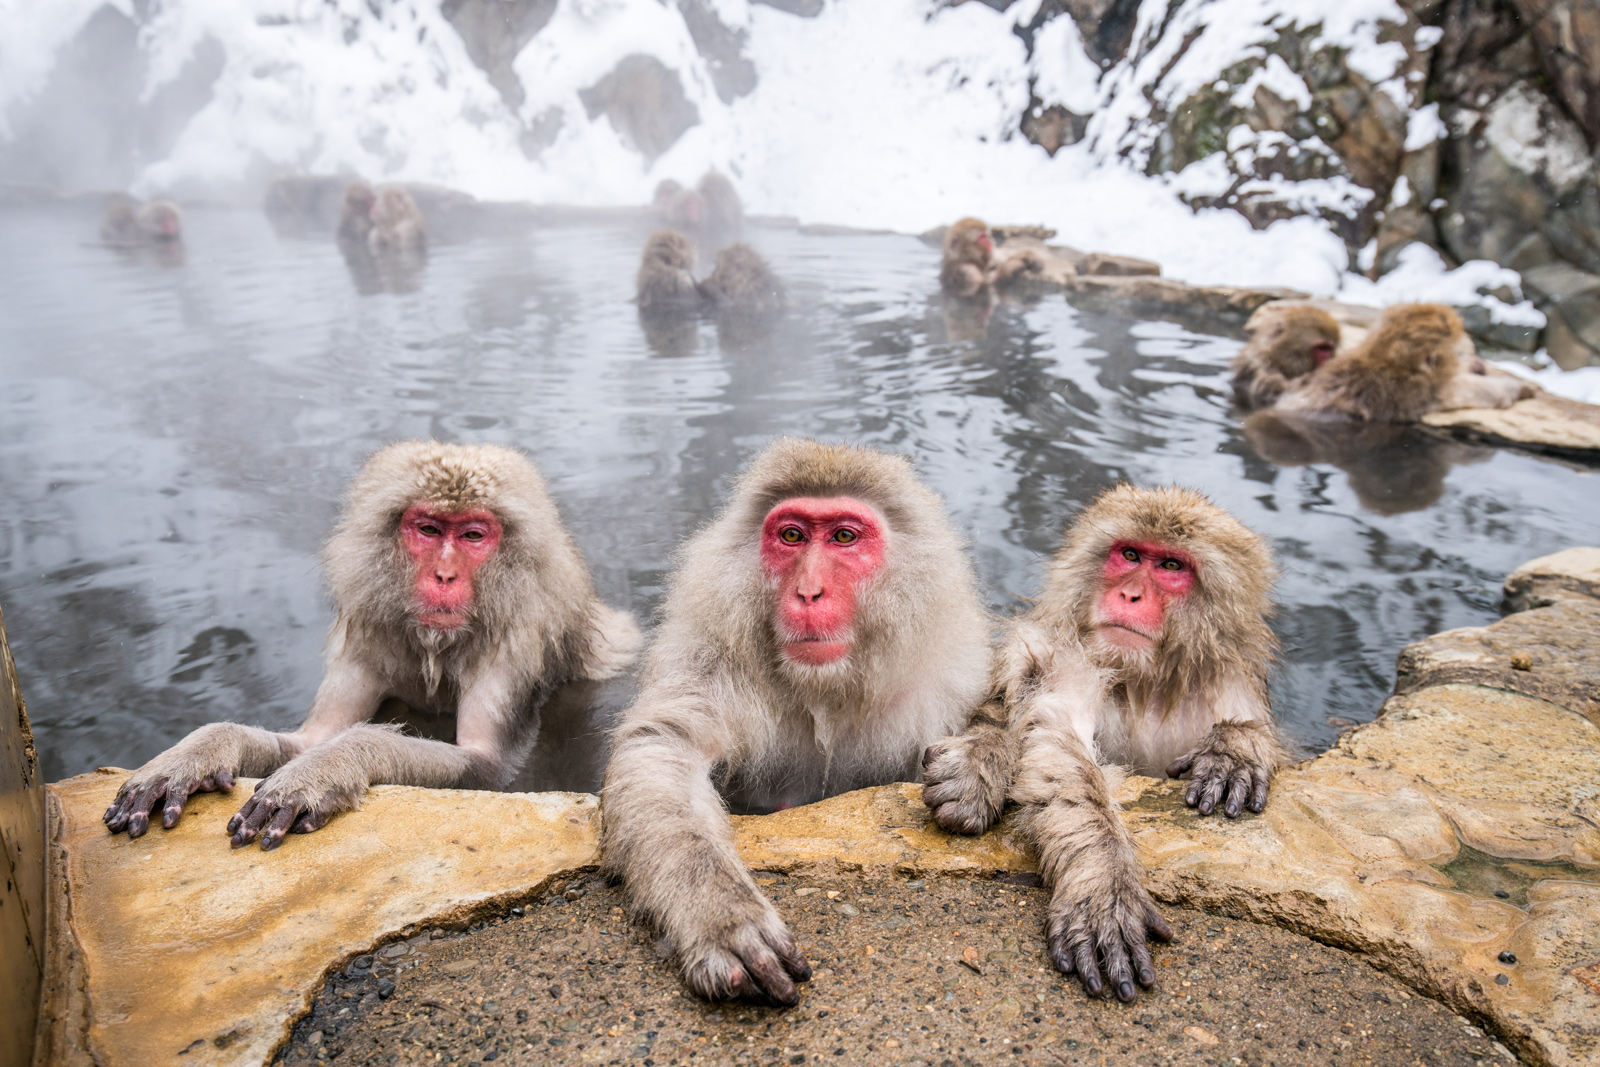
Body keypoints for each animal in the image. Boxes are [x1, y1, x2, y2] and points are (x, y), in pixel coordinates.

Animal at [103, 441, 642, 849]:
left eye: (473, 535)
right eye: (428, 529)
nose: (444, 576)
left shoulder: (515, 644)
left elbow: (489, 768)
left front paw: (329, 767)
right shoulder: (369, 634)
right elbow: (309, 738)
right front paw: (198, 752)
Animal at [601, 438, 993, 1006]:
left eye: (844, 537)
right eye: (792, 536)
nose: (808, 592)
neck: (826, 691)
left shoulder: (951, 678)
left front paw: (978, 768)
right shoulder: (710, 659)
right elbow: (663, 748)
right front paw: (721, 913)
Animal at [922, 485, 1287, 1003]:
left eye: (1171, 566)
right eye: (1129, 555)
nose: (1129, 594)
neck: (1142, 685)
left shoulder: (1229, 682)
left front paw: (1234, 751)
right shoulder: (1069, 656)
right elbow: (1058, 738)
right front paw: (1105, 883)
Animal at [1273, 304, 1532, 420]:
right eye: (1459, 352)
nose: (1476, 361)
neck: (1384, 362)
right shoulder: (1424, 390)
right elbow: (1485, 393)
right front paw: (1519, 388)